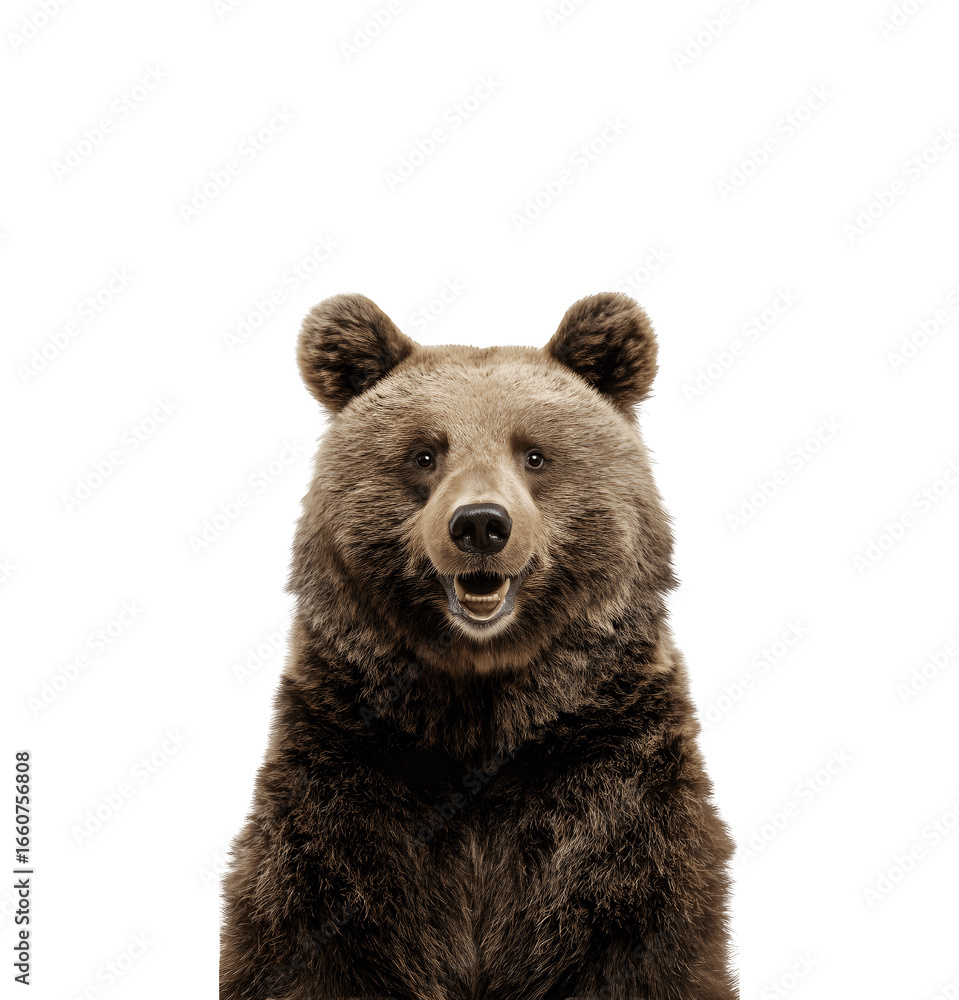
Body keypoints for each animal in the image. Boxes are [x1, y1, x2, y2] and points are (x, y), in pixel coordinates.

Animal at [219, 291, 736, 1000]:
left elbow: (644, 935)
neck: (482, 706)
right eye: (424, 454)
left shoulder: (612, 780)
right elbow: (308, 930)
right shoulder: (351, 768)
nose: (482, 525)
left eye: (535, 455)